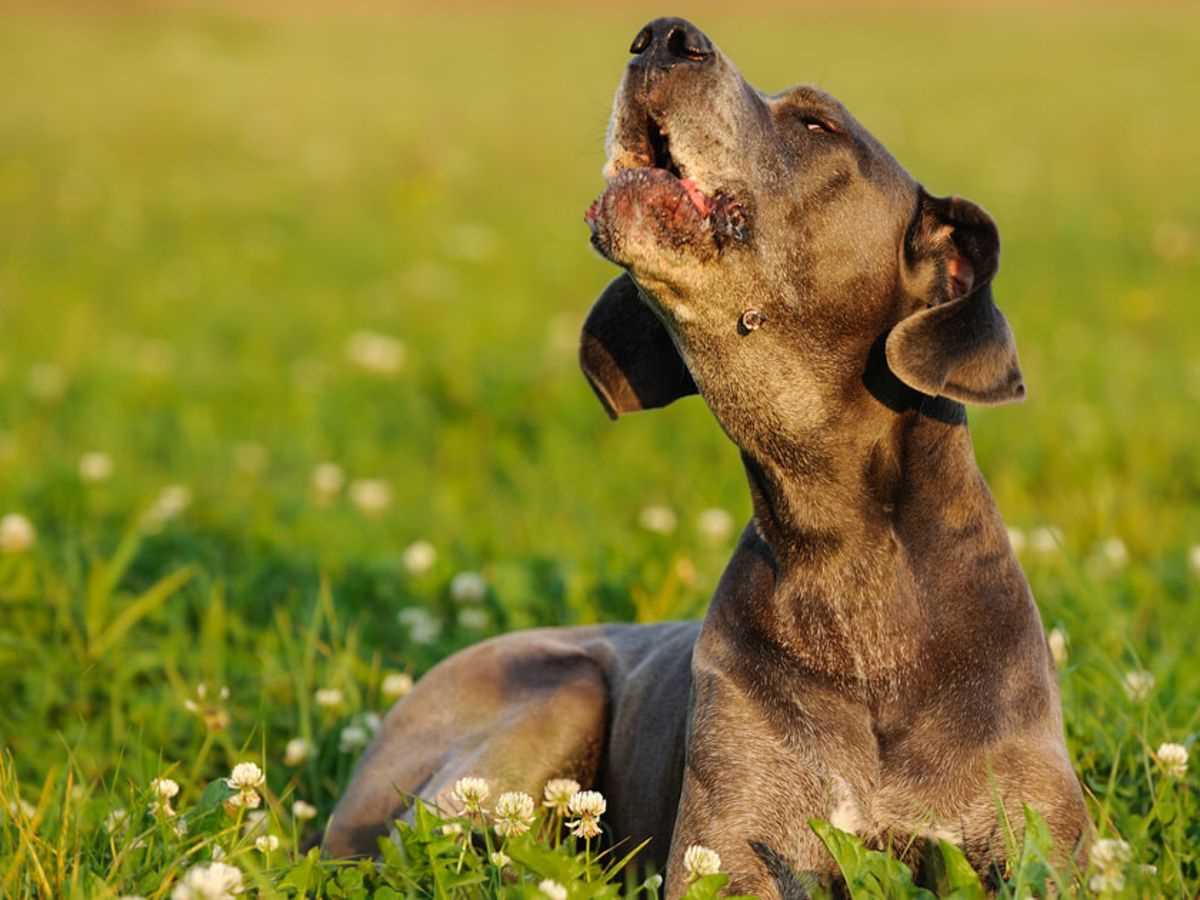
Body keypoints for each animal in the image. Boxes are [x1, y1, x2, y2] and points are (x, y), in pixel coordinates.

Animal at [324, 17, 1094, 897]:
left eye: (818, 125)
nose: (663, 36)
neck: (844, 552)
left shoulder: (1040, 846)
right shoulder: (727, 852)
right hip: (551, 697)